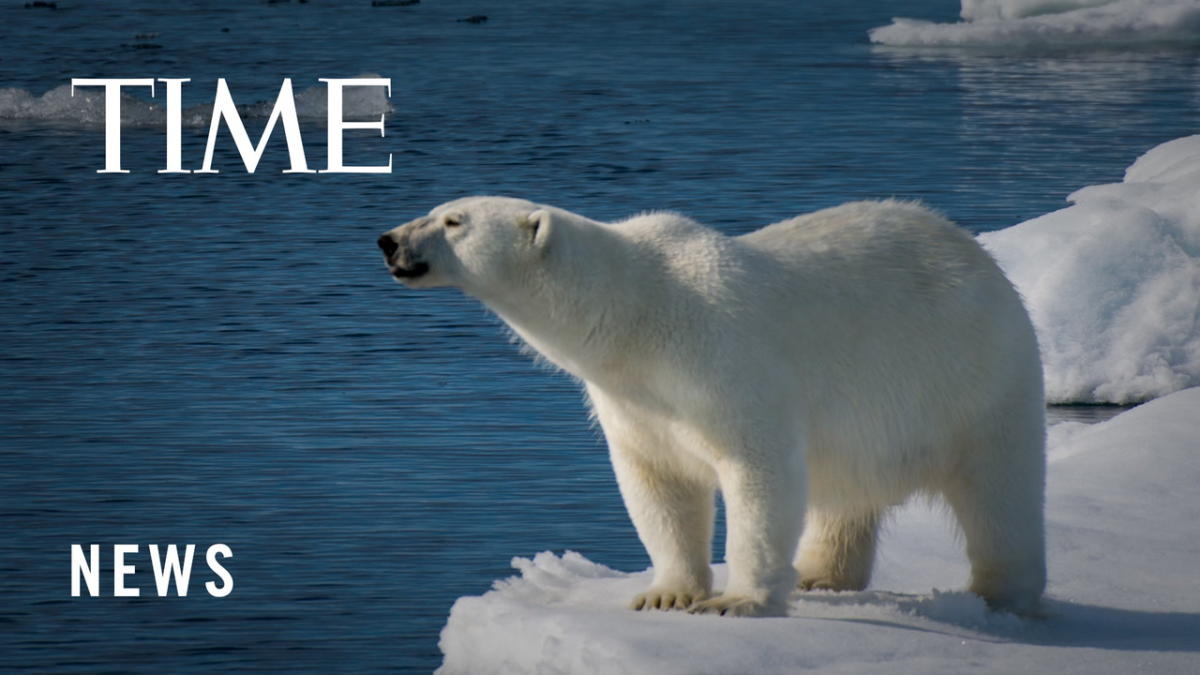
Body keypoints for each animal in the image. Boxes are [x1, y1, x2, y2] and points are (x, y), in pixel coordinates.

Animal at [379, 195, 1046, 614]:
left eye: (453, 220)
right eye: (438, 209)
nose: (388, 239)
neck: (639, 314)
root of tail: (978, 254)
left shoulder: (723, 362)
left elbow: (758, 472)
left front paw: (737, 601)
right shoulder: (636, 399)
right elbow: (659, 483)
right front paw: (667, 594)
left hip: (976, 376)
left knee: (1000, 492)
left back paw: (1001, 594)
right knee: (845, 496)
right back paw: (820, 573)